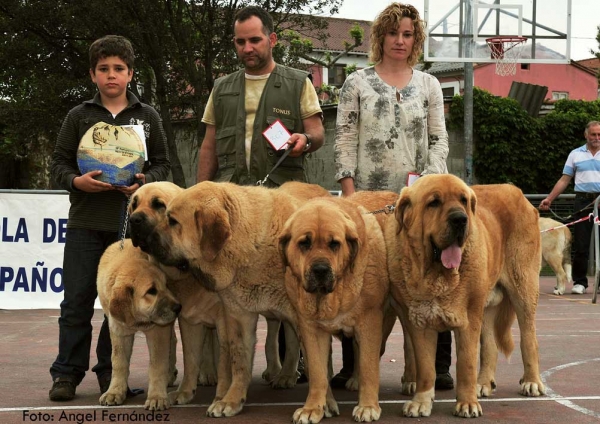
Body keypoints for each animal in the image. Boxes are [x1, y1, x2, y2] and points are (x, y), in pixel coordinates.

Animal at [97, 242, 182, 410]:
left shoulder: (158, 332)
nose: (178, 307)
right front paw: (114, 392)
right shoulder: (119, 330)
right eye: (151, 291)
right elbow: (119, 362)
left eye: (166, 285)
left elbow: (157, 365)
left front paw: (157, 397)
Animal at [146, 180, 332, 418]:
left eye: (173, 221)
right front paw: (231, 401)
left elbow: (316, 362)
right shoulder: (239, 315)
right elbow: (239, 362)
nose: (144, 237)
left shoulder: (307, 319)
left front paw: (324, 404)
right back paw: (285, 375)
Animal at [278, 197, 386, 422]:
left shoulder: (370, 323)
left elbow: (369, 368)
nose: (320, 269)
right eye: (304, 243)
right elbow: (318, 373)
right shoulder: (311, 330)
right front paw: (313, 408)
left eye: (334, 244)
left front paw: (368, 406)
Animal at [386, 175, 548, 418]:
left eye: (463, 200)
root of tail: (517, 192)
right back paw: (483, 383)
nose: (460, 219)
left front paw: (467, 404)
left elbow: (466, 364)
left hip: (523, 289)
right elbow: (426, 368)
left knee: (529, 338)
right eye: (434, 202)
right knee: (490, 345)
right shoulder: (420, 323)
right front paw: (421, 402)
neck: (437, 276)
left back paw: (532, 382)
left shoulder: (468, 321)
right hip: (486, 305)